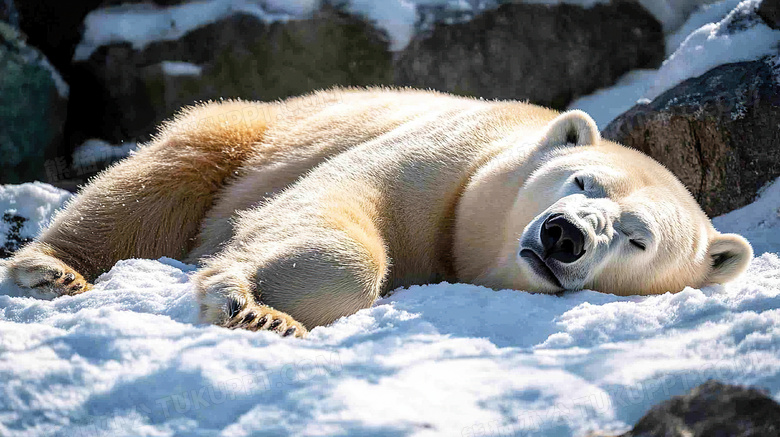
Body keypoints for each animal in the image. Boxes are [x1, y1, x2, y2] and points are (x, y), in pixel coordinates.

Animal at [4, 88, 748, 338]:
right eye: (582, 180)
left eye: (637, 238)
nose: (562, 236)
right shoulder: (446, 163)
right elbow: (334, 203)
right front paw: (252, 307)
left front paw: (266, 314)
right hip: (253, 132)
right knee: (159, 178)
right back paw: (53, 270)